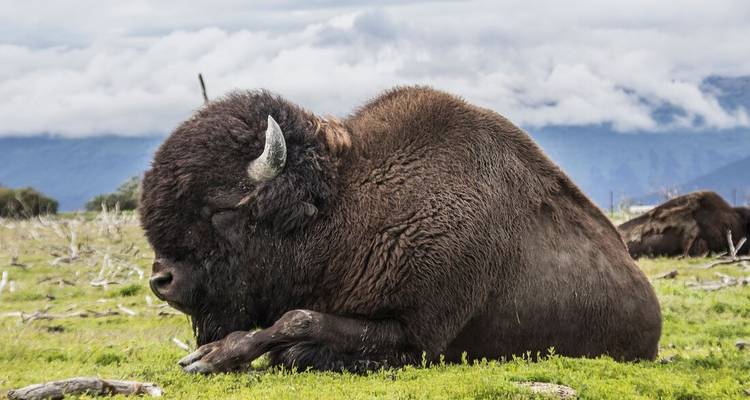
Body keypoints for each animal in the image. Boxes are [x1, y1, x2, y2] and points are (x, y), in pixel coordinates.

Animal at [140, 86, 661, 374]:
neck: (347, 206)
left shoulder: (418, 335)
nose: (162, 280)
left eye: (221, 209)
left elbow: (297, 320)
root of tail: (652, 312)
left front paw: (210, 358)